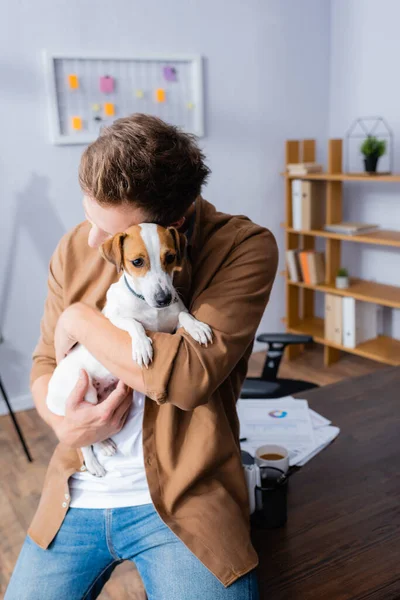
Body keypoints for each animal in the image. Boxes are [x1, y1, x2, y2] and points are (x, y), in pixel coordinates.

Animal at [47, 223, 212, 476]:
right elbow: (134, 323)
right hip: (85, 394)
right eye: (137, 262)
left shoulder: (173, 320)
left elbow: (183, 315)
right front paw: (142, 345)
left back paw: (104, 445)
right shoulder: (113, 318)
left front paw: (197, 327)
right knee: (84, 438)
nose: (164, 298)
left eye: (170, 257)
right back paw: (94, 462)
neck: (148, 305)